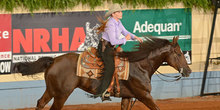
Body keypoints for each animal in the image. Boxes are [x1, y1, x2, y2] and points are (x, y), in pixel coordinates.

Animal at [12, 35, 191, 109]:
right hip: (62, 94)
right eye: (179, 53)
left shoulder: (127, 97)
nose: (188, 71)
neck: (140, 66)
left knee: (40, 103)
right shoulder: (144, 96)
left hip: (51, 90)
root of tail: (54, 61)